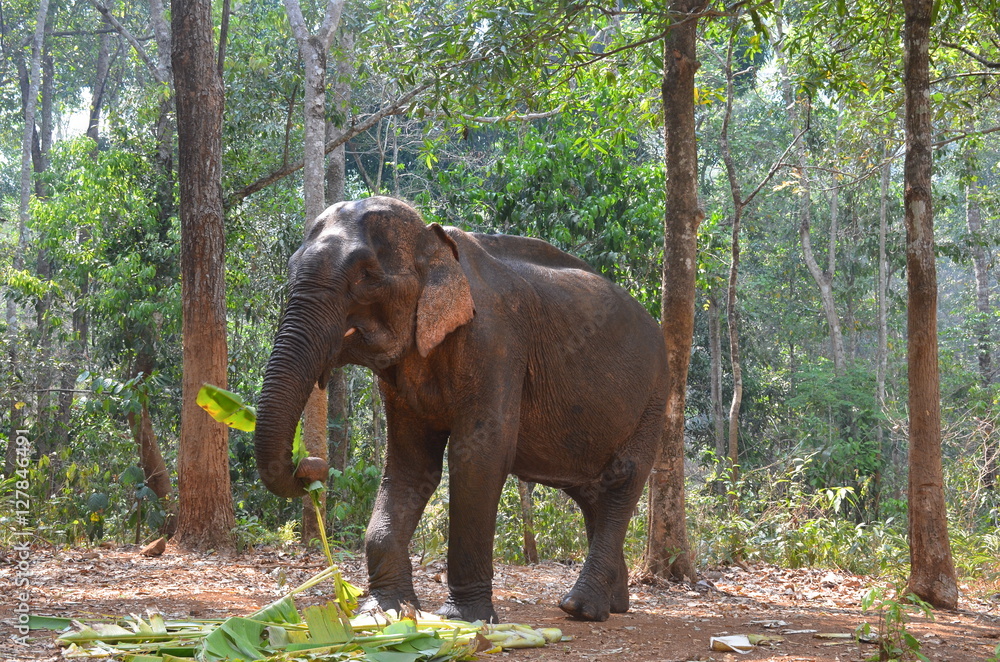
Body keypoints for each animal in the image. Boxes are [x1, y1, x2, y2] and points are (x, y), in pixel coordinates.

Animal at [254, 196, 667, 623]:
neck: (437, 243)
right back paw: (614, 606)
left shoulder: (496, 343)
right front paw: (384, 611)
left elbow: (477, 457)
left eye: (367, 275)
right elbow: (410, 463)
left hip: (655, 397)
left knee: (622, 479)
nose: (311, 465)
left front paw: (465, 619)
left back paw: (581, 608)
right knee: (590, 493)